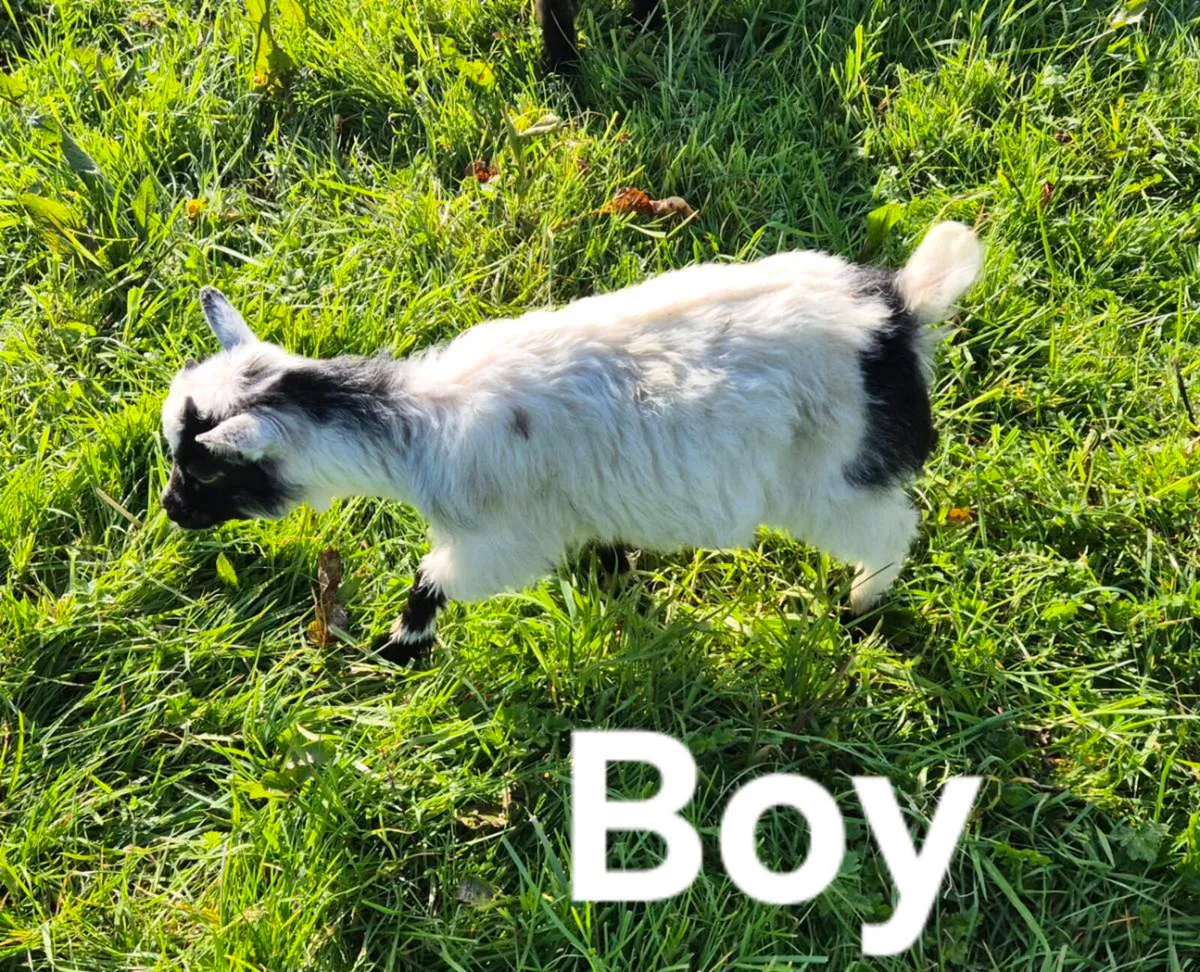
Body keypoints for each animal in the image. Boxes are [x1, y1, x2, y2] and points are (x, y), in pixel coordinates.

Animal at [160, 222, 982, 661]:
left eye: (206, 471)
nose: (169, 510)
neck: (415, 426)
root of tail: (898, 313)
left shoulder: (504, 539)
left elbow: (434, 579)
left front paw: (399, 647)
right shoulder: (581, 508)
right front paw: (621, 592)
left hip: (831, 478)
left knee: (890, 528)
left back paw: (859, 606)